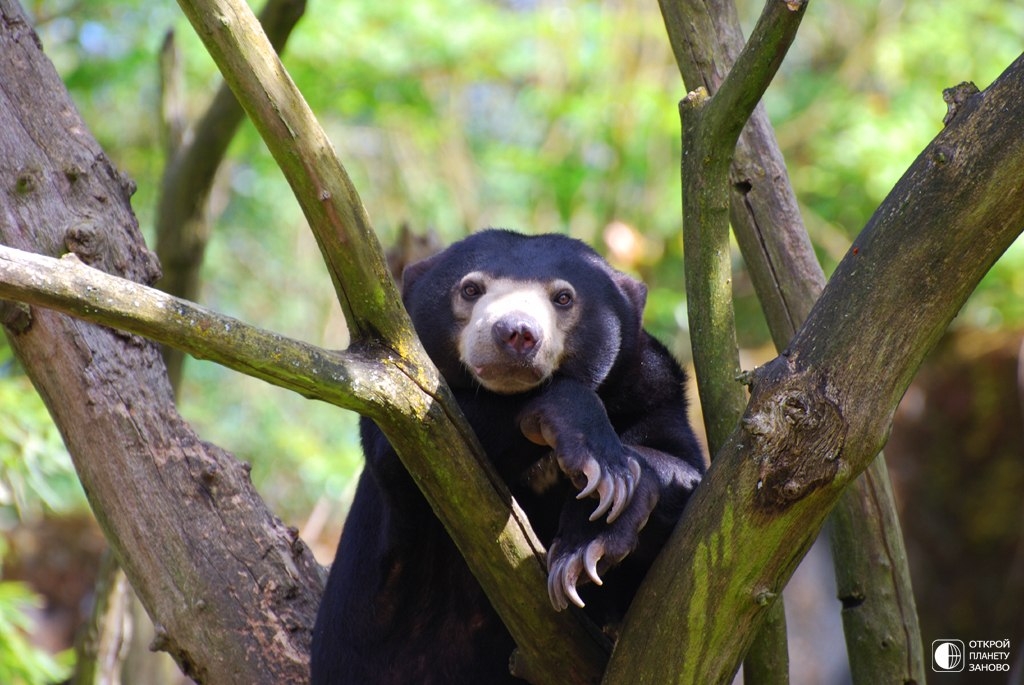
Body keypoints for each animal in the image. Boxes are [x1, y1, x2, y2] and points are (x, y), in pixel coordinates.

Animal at [311, 231, 708, 683]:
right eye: (470, 289)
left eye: (563, 297)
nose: (515, 333)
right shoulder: (394, 398)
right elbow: (418, 440)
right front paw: (586, 445)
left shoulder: (651, 388)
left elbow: (682, 469)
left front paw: (587, 542)